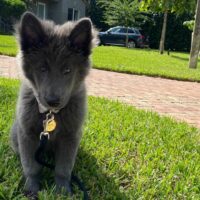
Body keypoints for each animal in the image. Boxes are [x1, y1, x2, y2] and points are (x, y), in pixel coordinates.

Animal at [10, 12, 97, 197]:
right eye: (42, 68)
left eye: (67, 70)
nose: (53, 100)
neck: (51, 113)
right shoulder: (27, 134)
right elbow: (31, 166)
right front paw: (32, 189)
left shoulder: (70, 137)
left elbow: (63, 169)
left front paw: (63, 191)